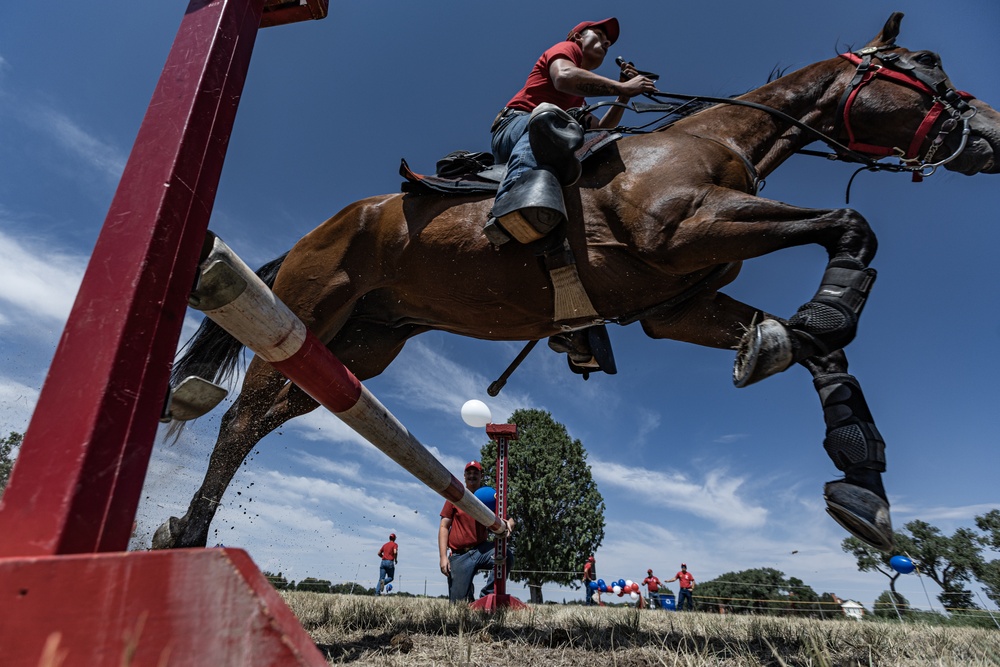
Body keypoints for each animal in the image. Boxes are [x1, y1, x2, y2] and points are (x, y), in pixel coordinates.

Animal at [152, 14, 1000, 552]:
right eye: (925, 68)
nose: (991, 132)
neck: (717, 142)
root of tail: (317, 231)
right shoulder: (685, 227)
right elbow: (850, 229)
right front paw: (827, 312)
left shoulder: (678, 304)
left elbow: (818, 353)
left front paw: (862, 484)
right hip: (308, 312)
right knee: (240, 420)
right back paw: (186, 534)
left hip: (363, 346)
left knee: (273, 417)